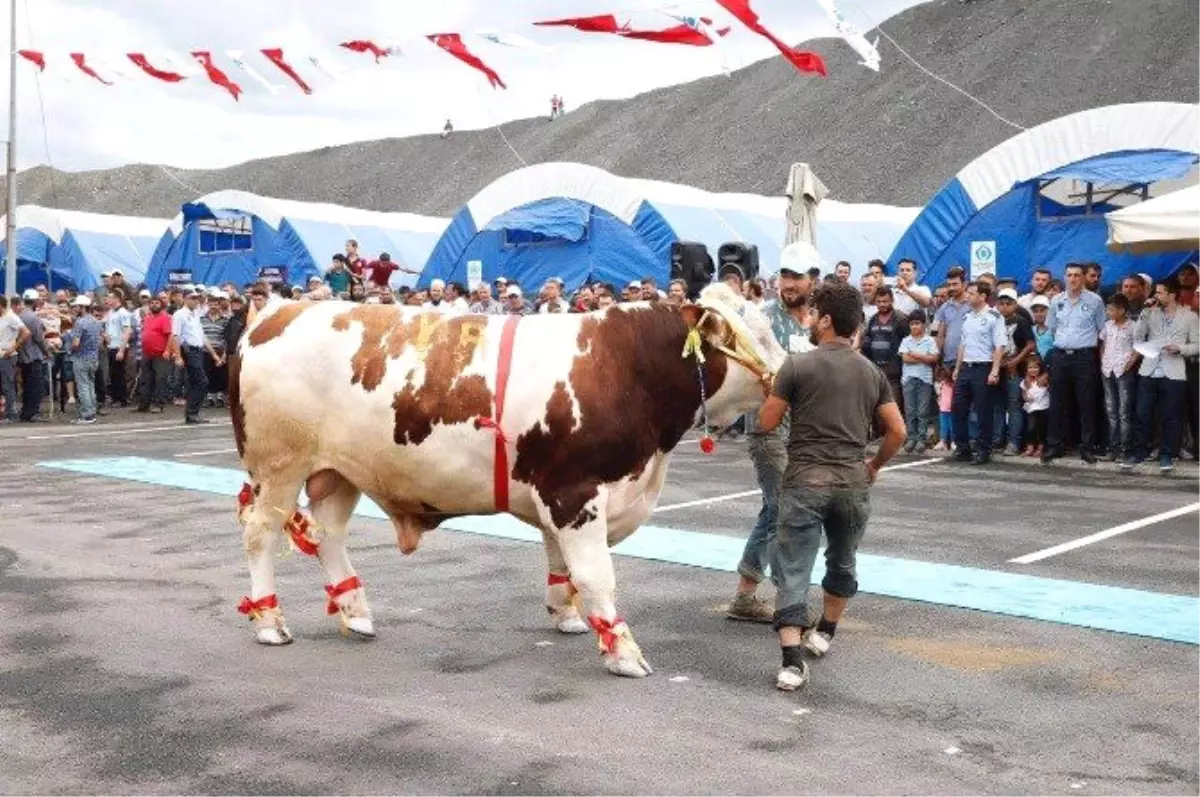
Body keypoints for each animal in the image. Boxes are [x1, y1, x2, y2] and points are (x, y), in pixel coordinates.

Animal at [229, 283, 787, 676]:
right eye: (748, 336)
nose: (789, 372)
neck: (624, 366)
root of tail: (275, 312)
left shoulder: (562, 496)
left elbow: (562, 564)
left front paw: (567, 617)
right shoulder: (574, 493)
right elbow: (596, 573)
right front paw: (622, 651)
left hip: (337, 471)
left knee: (328, 535)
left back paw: (356, 611)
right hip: (278, 466)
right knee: (260, 534)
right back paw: (270, 622)